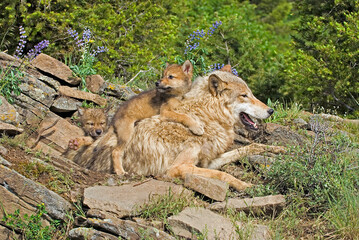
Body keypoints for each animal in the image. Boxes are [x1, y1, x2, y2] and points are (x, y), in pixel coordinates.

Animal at [74, 66, 286, 190]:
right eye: (244, 95)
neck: (206, 117)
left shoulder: (209, 161)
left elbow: (249, 147)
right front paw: (246, 185)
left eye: (251, 93)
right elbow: (222, 174)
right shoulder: (178, 168)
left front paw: (279, 148)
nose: (271, 110)